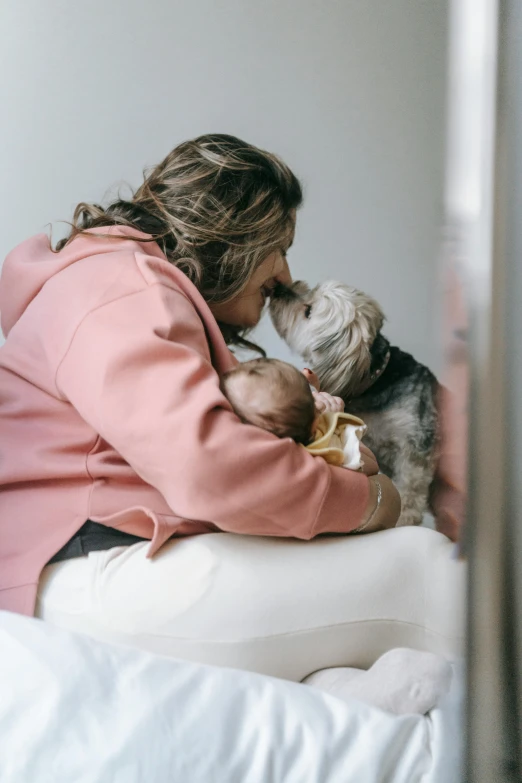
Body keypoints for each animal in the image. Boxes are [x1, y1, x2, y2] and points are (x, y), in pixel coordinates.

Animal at [270, 282, 436, 528]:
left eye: (308, 311)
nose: (278, 288)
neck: (376, 380)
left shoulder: (414, 449)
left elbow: (410, 492)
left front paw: (404, 520)